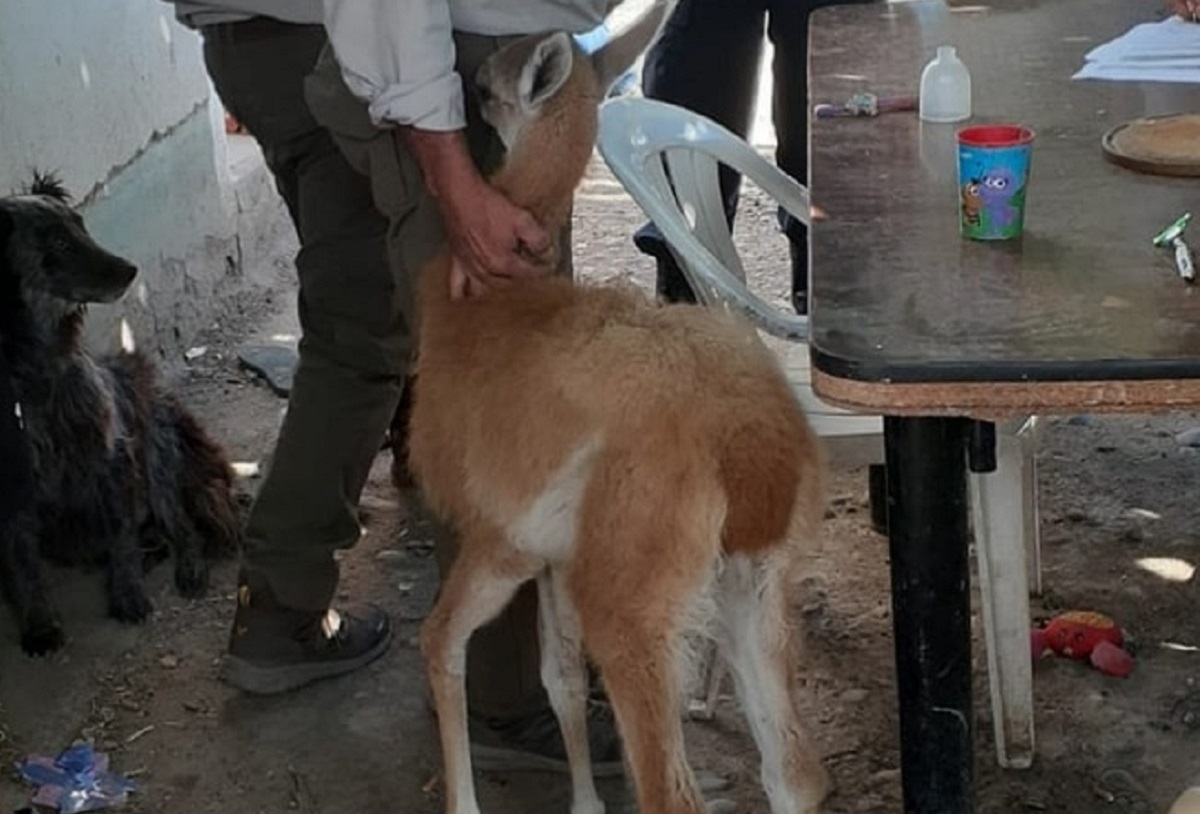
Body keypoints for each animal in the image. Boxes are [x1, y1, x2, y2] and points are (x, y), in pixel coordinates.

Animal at [0, 174, 241, 657]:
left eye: (81, 226)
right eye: (57, 241)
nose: (130, 270)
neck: (37, 372)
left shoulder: (112, 454)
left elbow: (120, 535)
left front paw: (129, 596)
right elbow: (21, 563)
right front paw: (39, 626)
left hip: (158, 446)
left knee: (182, 524)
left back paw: (188, 568)